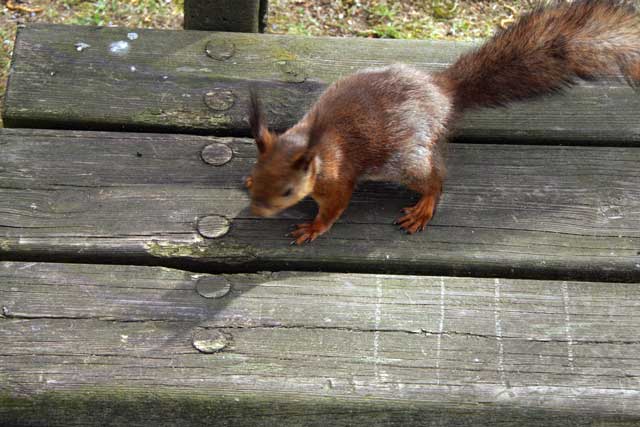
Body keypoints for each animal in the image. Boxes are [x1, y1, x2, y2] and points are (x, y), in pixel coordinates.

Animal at [246, 0, 640, 245]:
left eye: (287, 191)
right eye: (255, 179)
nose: (256, 210)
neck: (310, 146)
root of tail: (441, 92)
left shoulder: (338, 180)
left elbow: (334, 208)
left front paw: (313, 227)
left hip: (409, 161)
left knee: (436, 179)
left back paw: (424, 207)